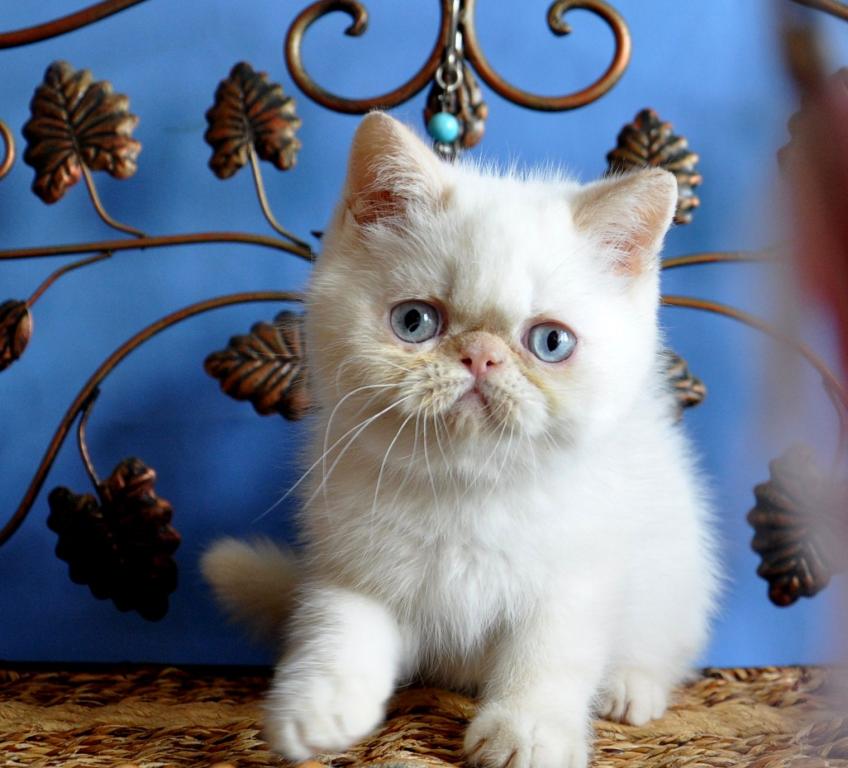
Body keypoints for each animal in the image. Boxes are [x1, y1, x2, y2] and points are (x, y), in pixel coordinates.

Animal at [202, 112, 720, 768]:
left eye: (551, 341)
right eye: (414, 322)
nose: (481, 355)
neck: (467, 487)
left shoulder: (576, 578)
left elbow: (548, 655)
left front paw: (527, 731)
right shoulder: (355, 565)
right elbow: (339, 625)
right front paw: (318, 707)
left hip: (679, 572)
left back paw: (631, 687)